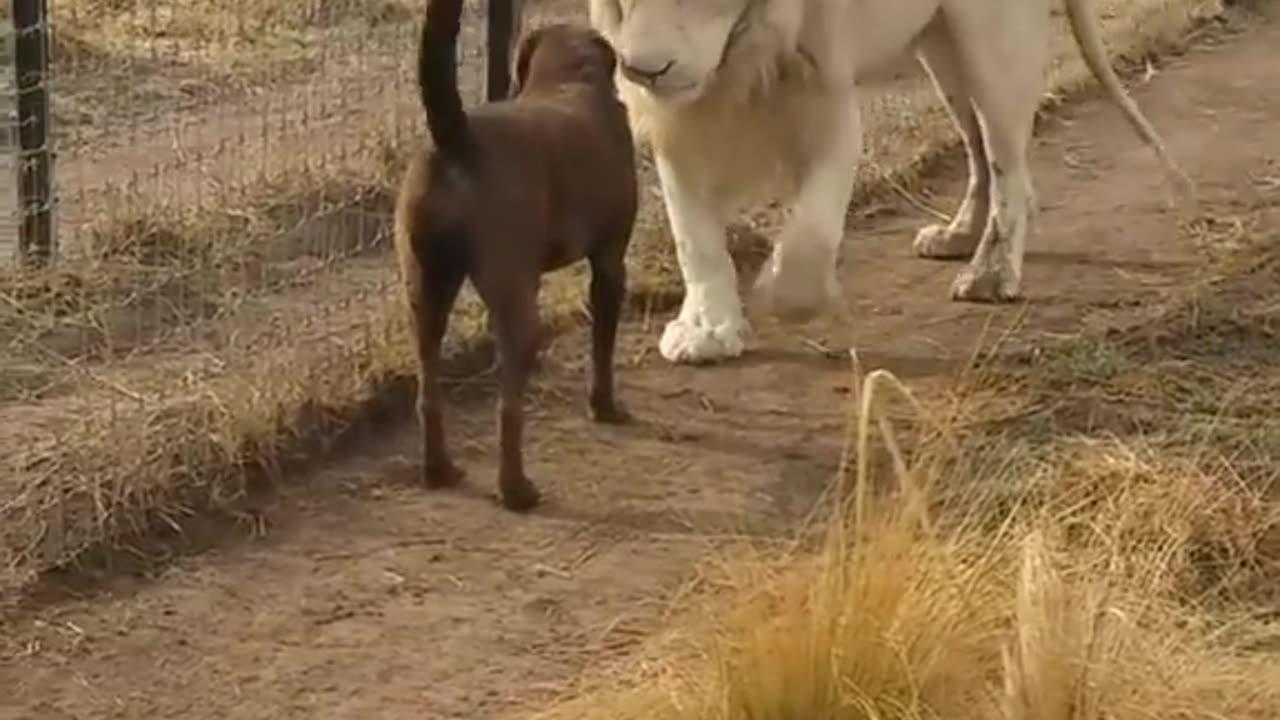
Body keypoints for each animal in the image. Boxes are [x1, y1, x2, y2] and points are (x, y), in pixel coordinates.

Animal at [386, 0, 632, 509]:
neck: (568, 78)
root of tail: (457, 140)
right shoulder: (610, 261)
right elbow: (602, 347)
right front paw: (604, 406)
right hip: (515, 298)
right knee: (509, 410)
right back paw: (516, 489)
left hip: (425, 290)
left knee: (428, 391)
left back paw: (438, 470)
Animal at [586, 0, 1187, 361]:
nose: (643, 70)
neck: (743, 54)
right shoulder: (676, 123)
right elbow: (694, 238)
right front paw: (707, 330)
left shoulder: (828, 100)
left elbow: (810, 237)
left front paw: (784, 296)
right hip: (939, 46)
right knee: (979, 150)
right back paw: (959, 237)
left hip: (991, 37)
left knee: (1009, 166)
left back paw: (991, 274)